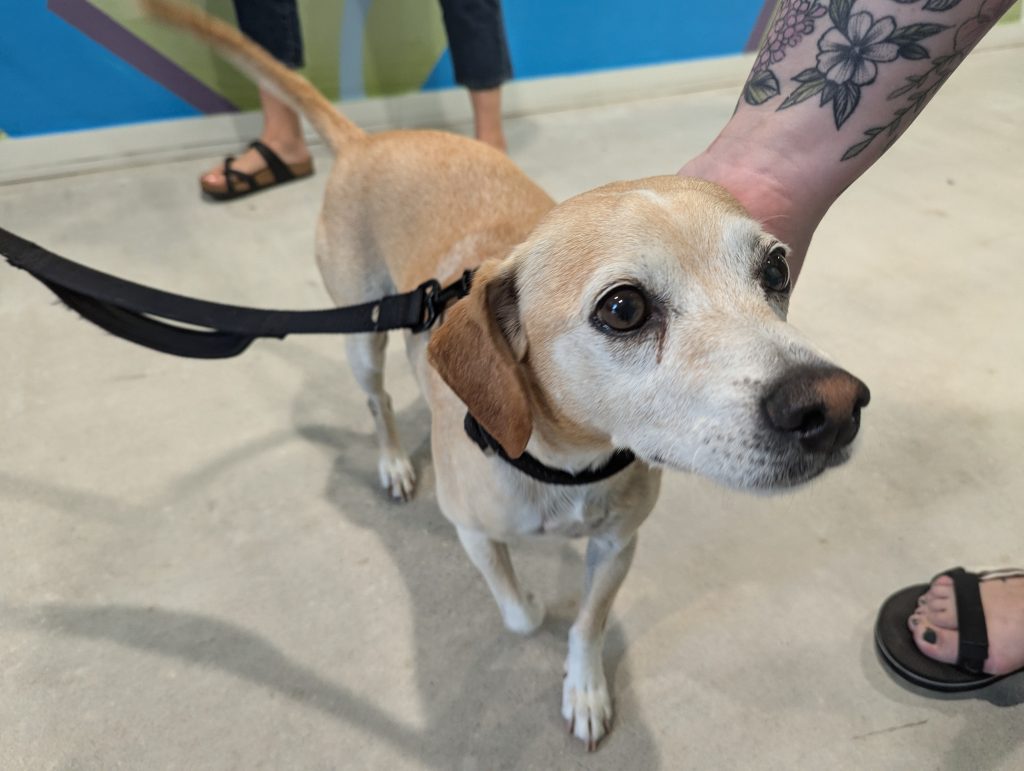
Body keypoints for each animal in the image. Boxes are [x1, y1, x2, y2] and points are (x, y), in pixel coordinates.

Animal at [146, 0, 864, 745]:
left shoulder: (618, 544)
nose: (835, 406)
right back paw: (394, 462)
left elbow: (589, 623)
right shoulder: (472, 532)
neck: (566, 466)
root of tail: (368, 142)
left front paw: (585, 687)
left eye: (775, 270)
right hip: (359, 338)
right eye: (624, 308)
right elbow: (521, 614)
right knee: (377, 403)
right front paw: (535, 606)